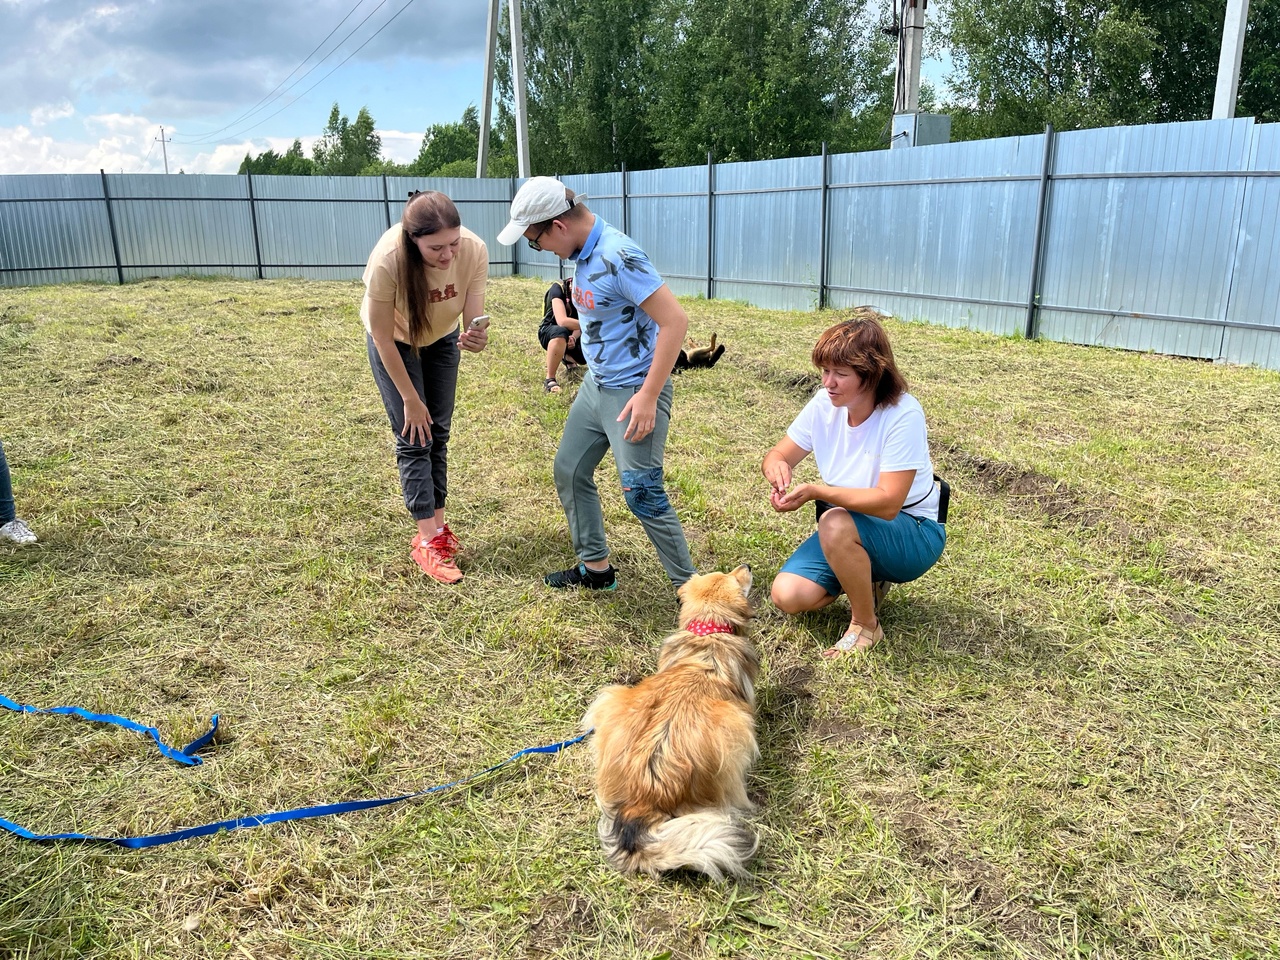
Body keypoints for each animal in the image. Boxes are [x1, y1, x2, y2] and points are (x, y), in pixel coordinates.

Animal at [583, 568, 757, 885]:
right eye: (734, 578)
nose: (746, 566)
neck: (709, 633)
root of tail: (643, 799)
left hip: (610, 698)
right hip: (736, 729)